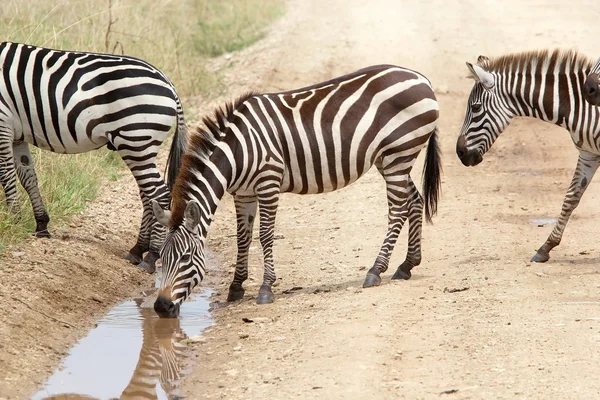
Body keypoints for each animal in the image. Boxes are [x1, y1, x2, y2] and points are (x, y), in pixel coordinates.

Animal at [0, 41, 188, 272]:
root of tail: (168, 83)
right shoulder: (18, 135)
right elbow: (28, 178)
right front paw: (41, 225)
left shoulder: (3, 122)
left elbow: (7, 175)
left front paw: (13, 221)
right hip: (138, 145)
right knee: (147, 194)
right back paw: (137, 249)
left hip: (135, 139)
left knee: (159, 193)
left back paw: (151, 255)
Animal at [150, 64, 440, 318]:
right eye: (161, 258)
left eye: (186, 258)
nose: (161, 307)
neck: (237, 152)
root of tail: (421, 78)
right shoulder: (243, 193)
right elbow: (243, 238)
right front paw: (236, 286)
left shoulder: (268, 182)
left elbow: (266, 236)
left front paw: (265, 288)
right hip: (391, 158)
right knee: (415, 201)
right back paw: (407, 265)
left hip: (398, 154)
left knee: (398, 209)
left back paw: (376, 270)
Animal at [454, 49, 600, 262]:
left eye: (475, 108)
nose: (460, 152)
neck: (580, 107)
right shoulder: (588, 154)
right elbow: (571, 198)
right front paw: (546, 247)